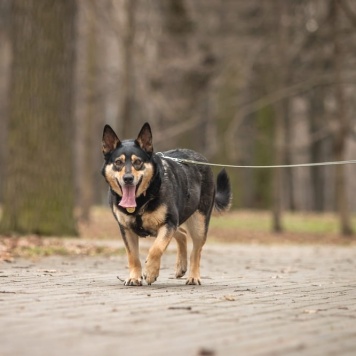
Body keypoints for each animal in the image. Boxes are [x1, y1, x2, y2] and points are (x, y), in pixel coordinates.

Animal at [101, 124, 232, 286]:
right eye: (118, 163)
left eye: (138, 162)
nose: (128, 178)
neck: (142, 200)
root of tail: (202, 159)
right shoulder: (126, 229)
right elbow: (133, 256)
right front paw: (134, 277)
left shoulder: (168, 223)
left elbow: (156, 249)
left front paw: (151, 272)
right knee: (182, 234)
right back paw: (181, 267)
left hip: (198, 224)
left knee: (196, 251)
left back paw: (193, 277)